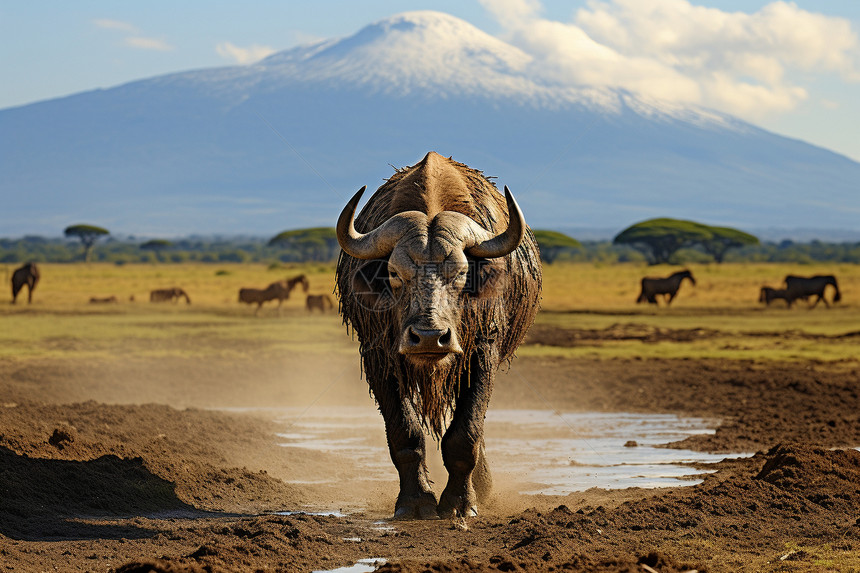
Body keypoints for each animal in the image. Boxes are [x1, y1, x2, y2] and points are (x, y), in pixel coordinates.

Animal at [334, 152, 540, 520]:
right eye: (394, 273)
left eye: (460, 273)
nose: (430, 337)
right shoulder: (377, 354)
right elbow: (405, 433)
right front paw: (415, 502)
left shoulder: (482, 351)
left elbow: (465, 434)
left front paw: (461, 502)